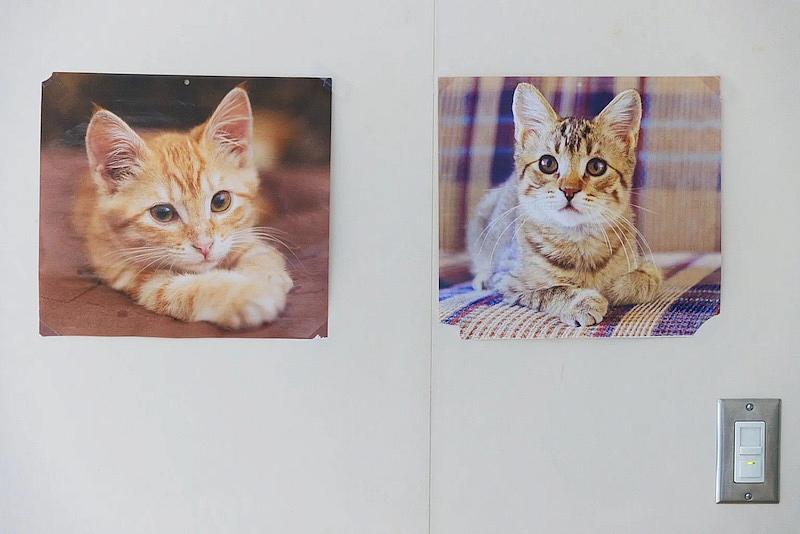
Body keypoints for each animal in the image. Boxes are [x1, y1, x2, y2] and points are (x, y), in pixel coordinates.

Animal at [74, 88, 294, 330]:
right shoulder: (126, 269)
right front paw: (246, 293)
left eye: (220, 201)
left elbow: (260, 252)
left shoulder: (242, 235)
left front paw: (268, 276)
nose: (205, 246)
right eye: (163, 213)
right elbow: (184, 289)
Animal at [468, 83, 664, 326]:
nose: (569, 190)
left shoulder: (646, 264)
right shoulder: (508, 279)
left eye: (596, 166)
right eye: (547, 163)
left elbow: (647, 279)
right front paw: (580, 301)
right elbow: (550, 290)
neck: (578, 240)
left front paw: (613, 287)